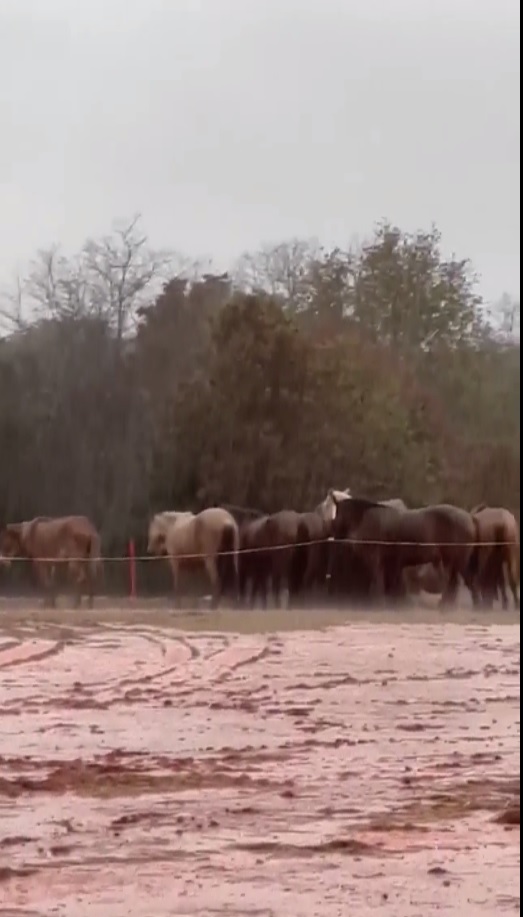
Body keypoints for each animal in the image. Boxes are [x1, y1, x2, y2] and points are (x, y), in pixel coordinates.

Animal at [332, 496, 479, 608]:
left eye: (337, 512)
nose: (335, 535)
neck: (368, 519)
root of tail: (469, 517)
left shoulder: (376, 560)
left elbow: (379, 582)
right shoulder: (392, 563)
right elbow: (393, 585)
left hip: (457, 562)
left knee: (460, 583)